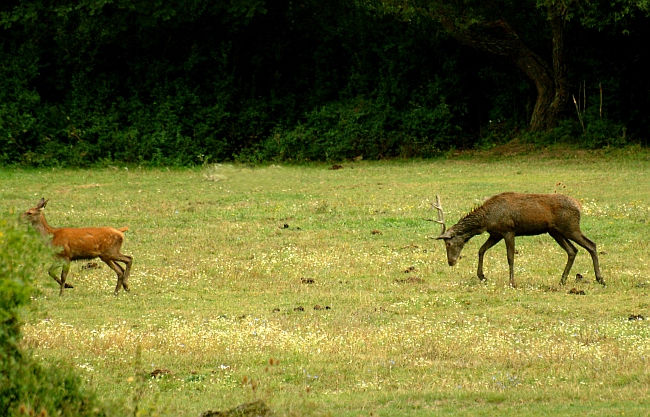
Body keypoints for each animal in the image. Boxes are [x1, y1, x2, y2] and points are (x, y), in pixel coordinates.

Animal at [430, 193, 604, 288]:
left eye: (448, 243)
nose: (451, 262)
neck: (486, 220)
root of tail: (579, 206)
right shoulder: (495, 234)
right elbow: (481, 250)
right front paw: (482, 276)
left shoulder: (508, 230)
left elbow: (510, 257)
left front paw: (512, 282)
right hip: (555, 231)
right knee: (572, 250)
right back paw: (562, 281)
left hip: (570, 227)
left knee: (591, 244)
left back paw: (600, 279)